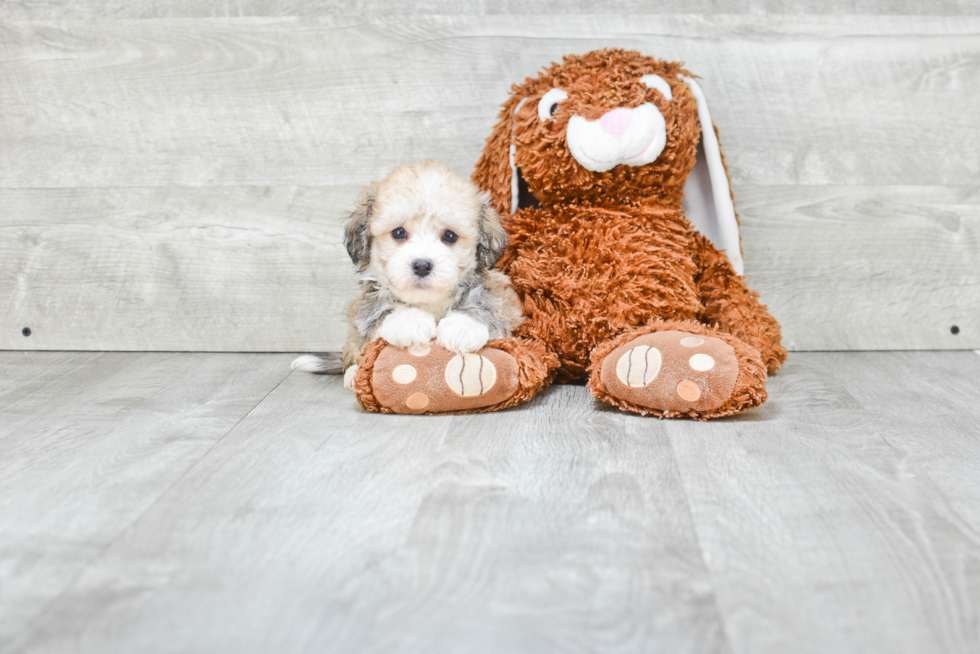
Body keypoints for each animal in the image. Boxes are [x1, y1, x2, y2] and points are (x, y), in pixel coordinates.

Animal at [290, 161, 524, 390]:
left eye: (449, 236)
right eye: (399, 232)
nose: (421, 265)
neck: (428, 303)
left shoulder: (505, 304)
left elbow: (486, 307)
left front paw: (462, 326)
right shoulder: (365, 311)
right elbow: (379, 314)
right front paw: (410, 320)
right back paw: (353, 375)